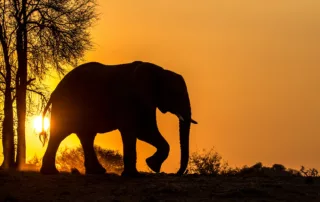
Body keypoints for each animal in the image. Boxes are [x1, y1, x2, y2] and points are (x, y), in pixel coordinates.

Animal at [38, 60, 196, 176]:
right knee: (60, 134)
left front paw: (152, 166)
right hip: (67, 105)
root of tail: (55, 91)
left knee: (85, 136)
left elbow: (144, 132)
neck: (159, 71)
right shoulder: (131, 100)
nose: (177, 173)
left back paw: (96, 172)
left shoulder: (146, 102)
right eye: (176, 93)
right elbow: (138, 131)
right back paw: (51, 172)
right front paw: (140, 173)